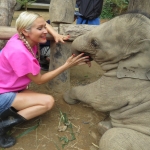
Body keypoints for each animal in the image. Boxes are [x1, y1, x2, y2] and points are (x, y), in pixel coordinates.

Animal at [63, 12, 150, 149]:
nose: (85, 58)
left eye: (95, 43)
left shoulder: (128, 82)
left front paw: (68, 98)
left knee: (112, 137)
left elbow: (98, 98)